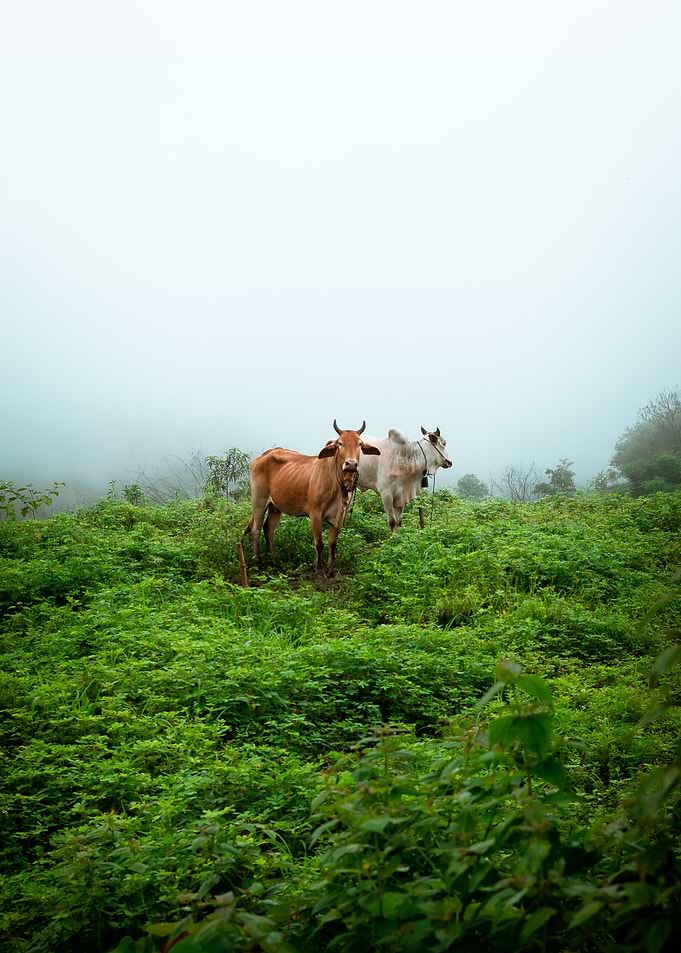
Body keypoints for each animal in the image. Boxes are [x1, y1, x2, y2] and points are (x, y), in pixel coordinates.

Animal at [245, 421, 381, 576]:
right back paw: (258, 562)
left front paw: (331, 570)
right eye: (340, 443)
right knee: (256, 529)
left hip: (275, 507)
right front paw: (319, 570)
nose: (351, 464)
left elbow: (333, 544)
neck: (337, 483)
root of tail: (263, 455)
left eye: (360, 444)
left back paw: (274, 561)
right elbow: (319, 543)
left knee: (268, 529)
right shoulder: (315, 513)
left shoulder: (339, 515)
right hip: (258, 501)